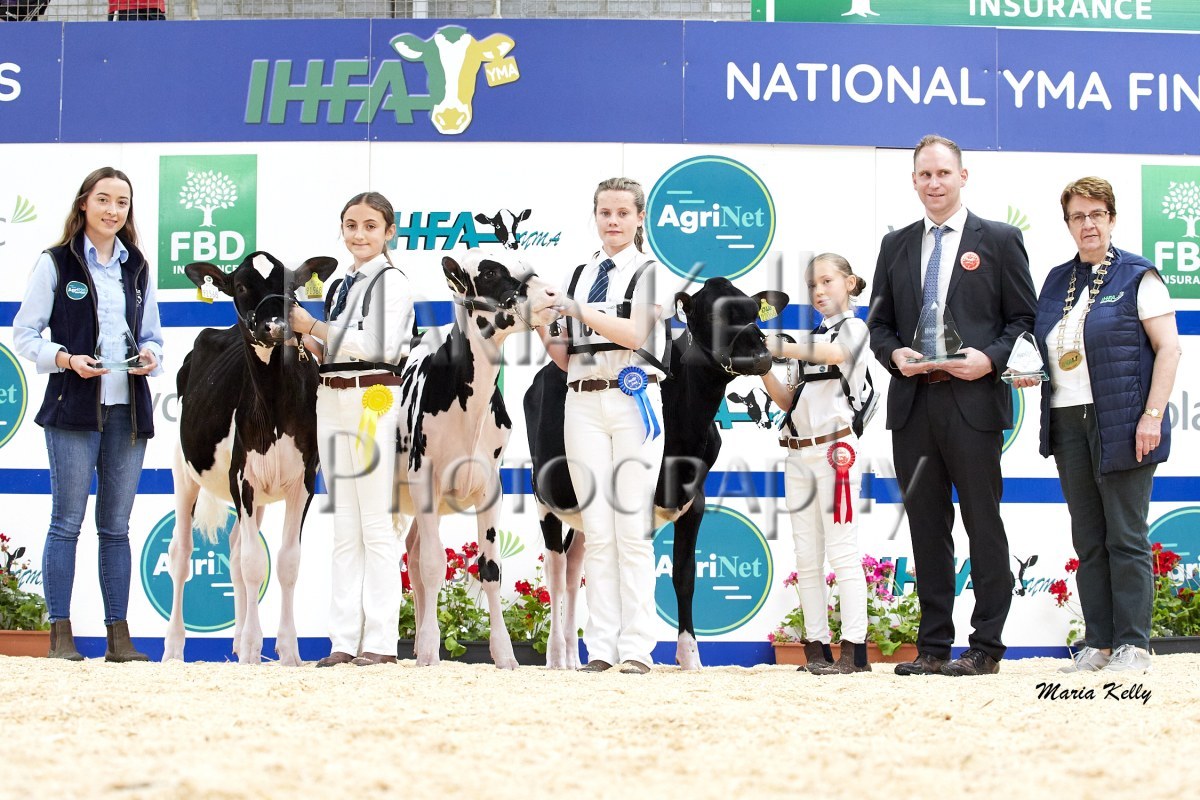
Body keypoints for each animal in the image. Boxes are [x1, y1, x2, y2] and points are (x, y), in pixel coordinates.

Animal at [162, 251, 337, 666]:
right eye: (241, 286)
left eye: (290, 284)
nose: (276, 325)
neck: (273, 405)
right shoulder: (241, 479)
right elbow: (256, 564)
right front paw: (255, 649)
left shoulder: (304, 481)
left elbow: (285, 562)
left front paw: (287, 651)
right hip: (184, 471)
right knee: (181, 553)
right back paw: (174, 648)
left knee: (236, 551)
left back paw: (238, 640)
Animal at [397, 249, 559, 668]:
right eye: (488, 273)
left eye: (526, 264)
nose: (552, 293)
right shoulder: (424, 478)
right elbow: (435, 564)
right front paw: (433, 652)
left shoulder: (491, 488)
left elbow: (490, 570)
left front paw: (504, 656)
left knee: (413, 553)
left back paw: (416, 644)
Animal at [525, 278, 788, 670]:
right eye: (713, 314)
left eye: (754, 313)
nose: (760, 357)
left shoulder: (694, 501)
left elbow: (683, 576)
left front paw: (689, 658)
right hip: (545, 495)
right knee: (555, 572)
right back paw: (556, 657)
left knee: (573, 571)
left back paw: (574, 657)